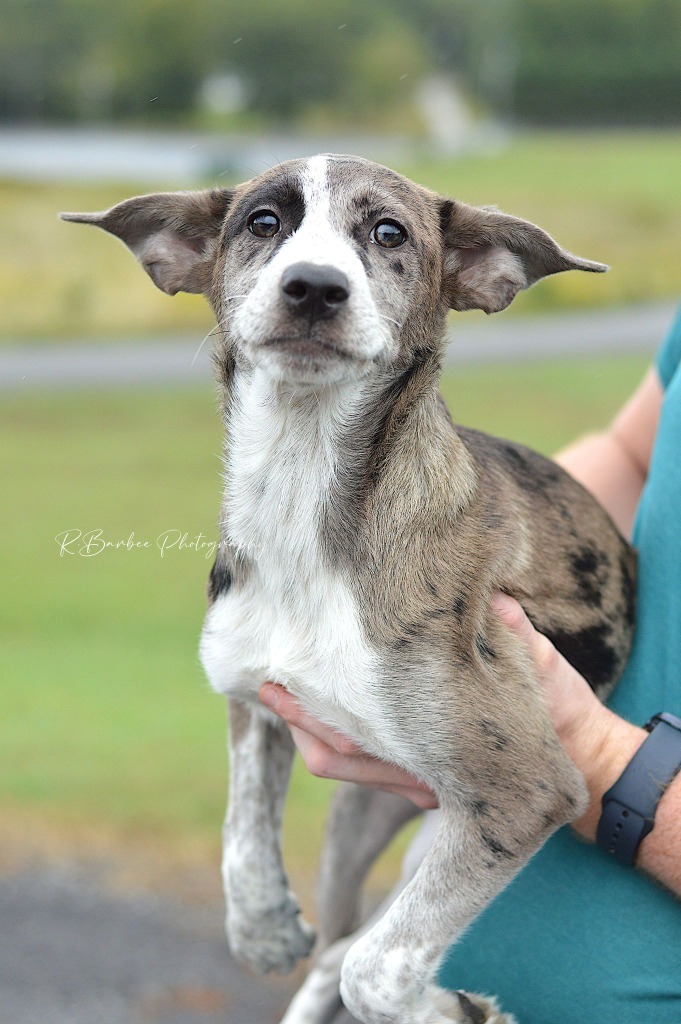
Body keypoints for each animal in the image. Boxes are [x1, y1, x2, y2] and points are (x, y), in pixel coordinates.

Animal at [62, 153, 630, 1024]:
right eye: (263, 222)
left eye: (388, 233)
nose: (313, 288)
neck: (302, 494)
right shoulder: (252, 690)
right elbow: (242, 834)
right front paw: (262, 927)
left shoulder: (527, 787)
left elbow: (377, 970)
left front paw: (448, 1007)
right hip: (352, 826)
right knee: (334, 945)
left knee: (356, 949)